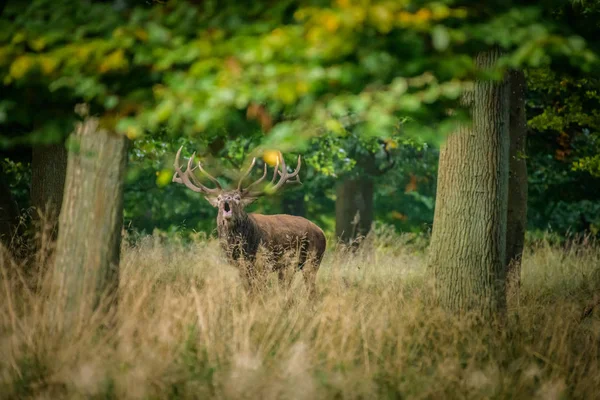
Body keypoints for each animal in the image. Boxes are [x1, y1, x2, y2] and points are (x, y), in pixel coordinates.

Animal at [171, 147, 326, 294]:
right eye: (219, 198)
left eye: (238, 198)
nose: (227, 199)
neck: (242, 246)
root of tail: (322, 232)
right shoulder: (239, 265)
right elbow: (249, 291)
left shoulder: (264, 262)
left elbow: (259, 291)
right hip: (289, 266)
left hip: (312, 259)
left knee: (311, 290)